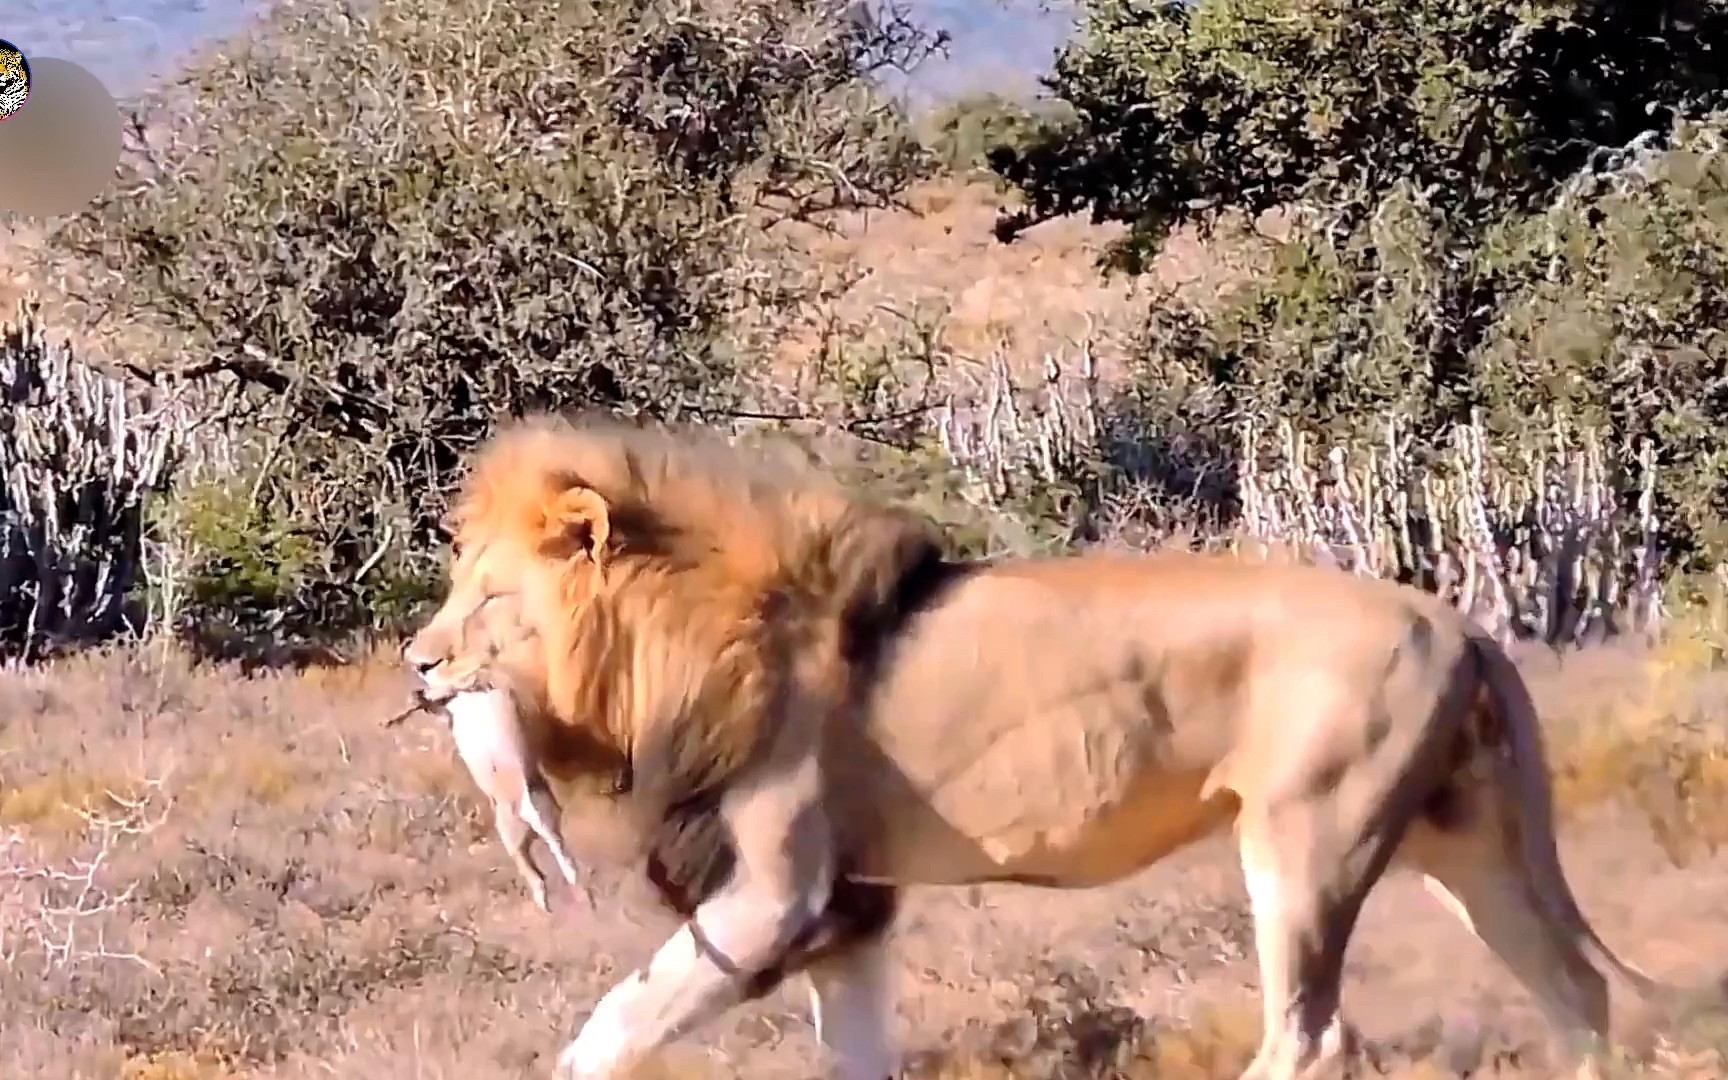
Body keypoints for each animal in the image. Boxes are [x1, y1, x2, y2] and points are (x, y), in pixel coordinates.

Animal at [400, 412, 1672, 1078]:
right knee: (1574, 991)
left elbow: (614, 1024)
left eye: (492, 599)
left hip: (1308, 844)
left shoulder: (773, 889)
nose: (416, 662)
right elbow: (851, 1055)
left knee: (1309, 1037)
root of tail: (1459, 620)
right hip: (1464, 842)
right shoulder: (850, 909)